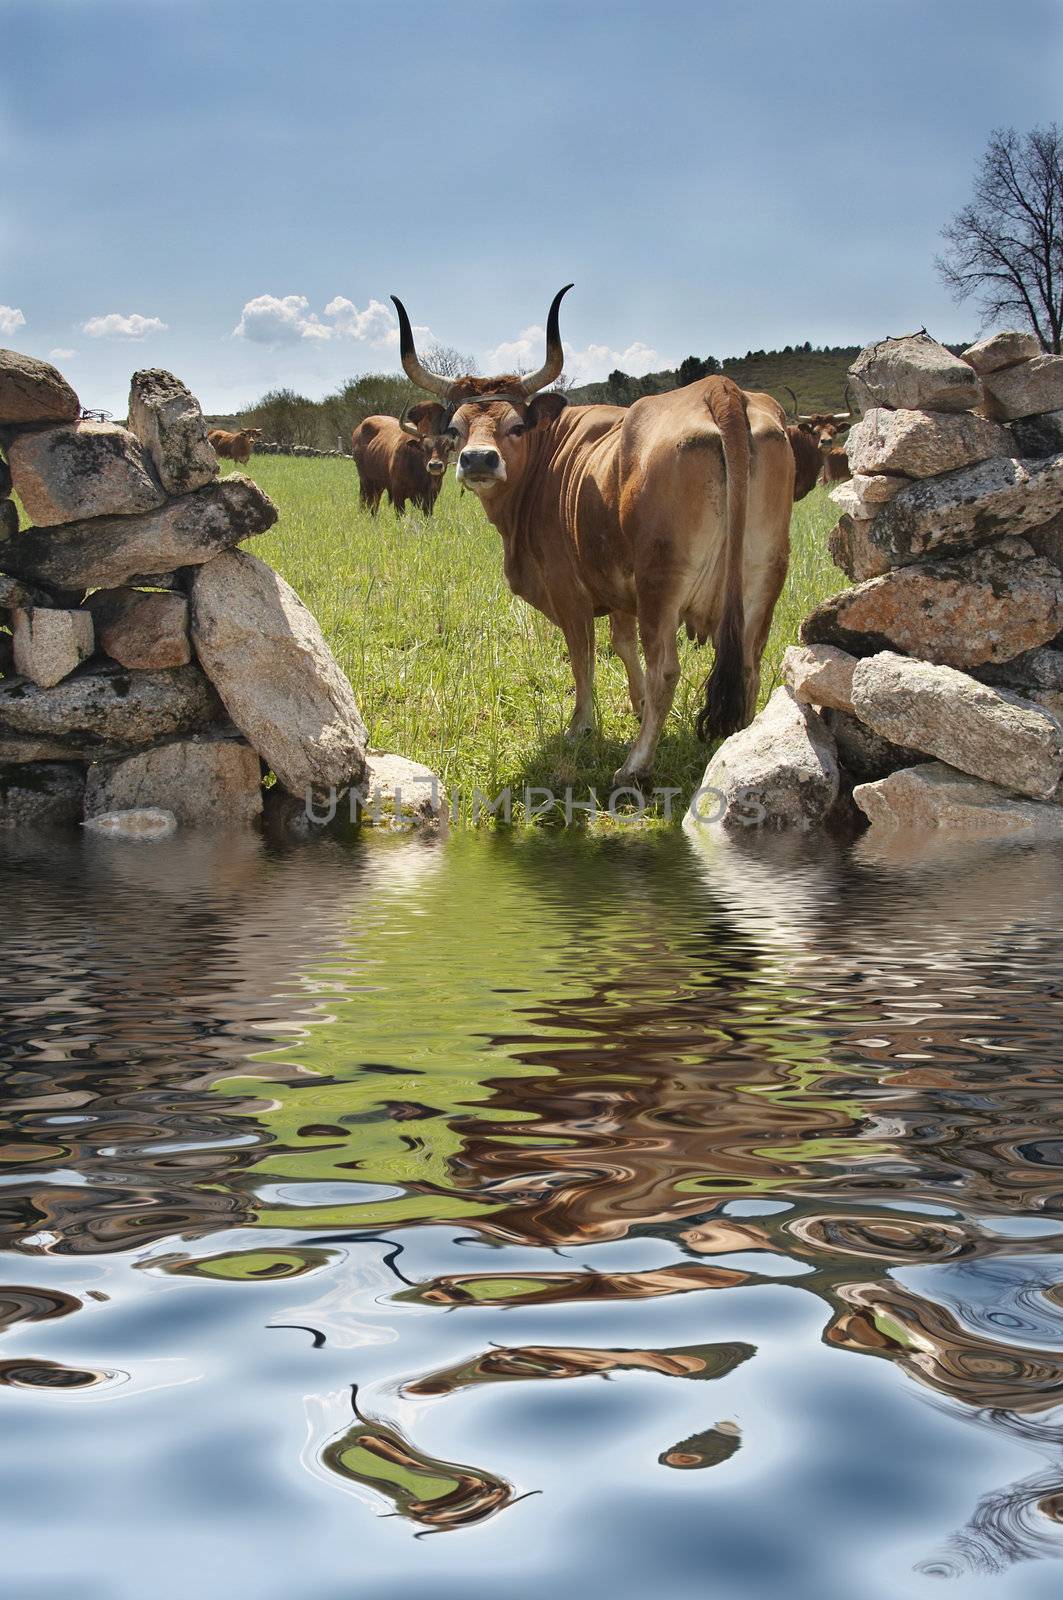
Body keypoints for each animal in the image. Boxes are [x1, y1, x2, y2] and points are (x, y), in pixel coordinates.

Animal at [393, 292, 794, 787]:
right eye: (454, 428)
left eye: (516, 426)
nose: (478, 459)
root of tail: (718, 389)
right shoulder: (620, 590)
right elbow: (621, 646)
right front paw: (635, 705)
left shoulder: (569, 591)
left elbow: (582, 656)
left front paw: (580, 726)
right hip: (762, 575)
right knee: (749, 662)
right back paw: (738, 744)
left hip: (661, 582)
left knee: (666, 669)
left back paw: (634, 765)